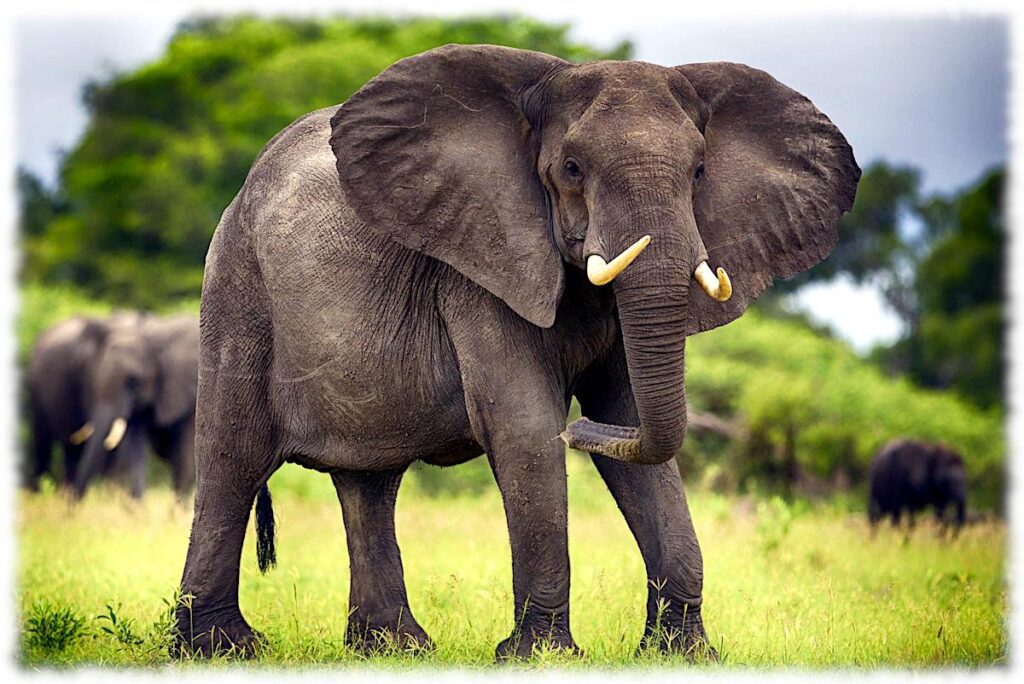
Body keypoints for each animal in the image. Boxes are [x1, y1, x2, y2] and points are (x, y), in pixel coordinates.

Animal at [174, 44, 859, 659]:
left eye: (697, 173)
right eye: (573, 167)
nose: (579, 430)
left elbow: (633, 421)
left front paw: (683, 654)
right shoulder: (480, 265)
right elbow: (526, 430)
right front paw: (542, 655)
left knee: (369, 481)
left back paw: (393, 649)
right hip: (237, 286)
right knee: (232, 458)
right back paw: (220, 648)